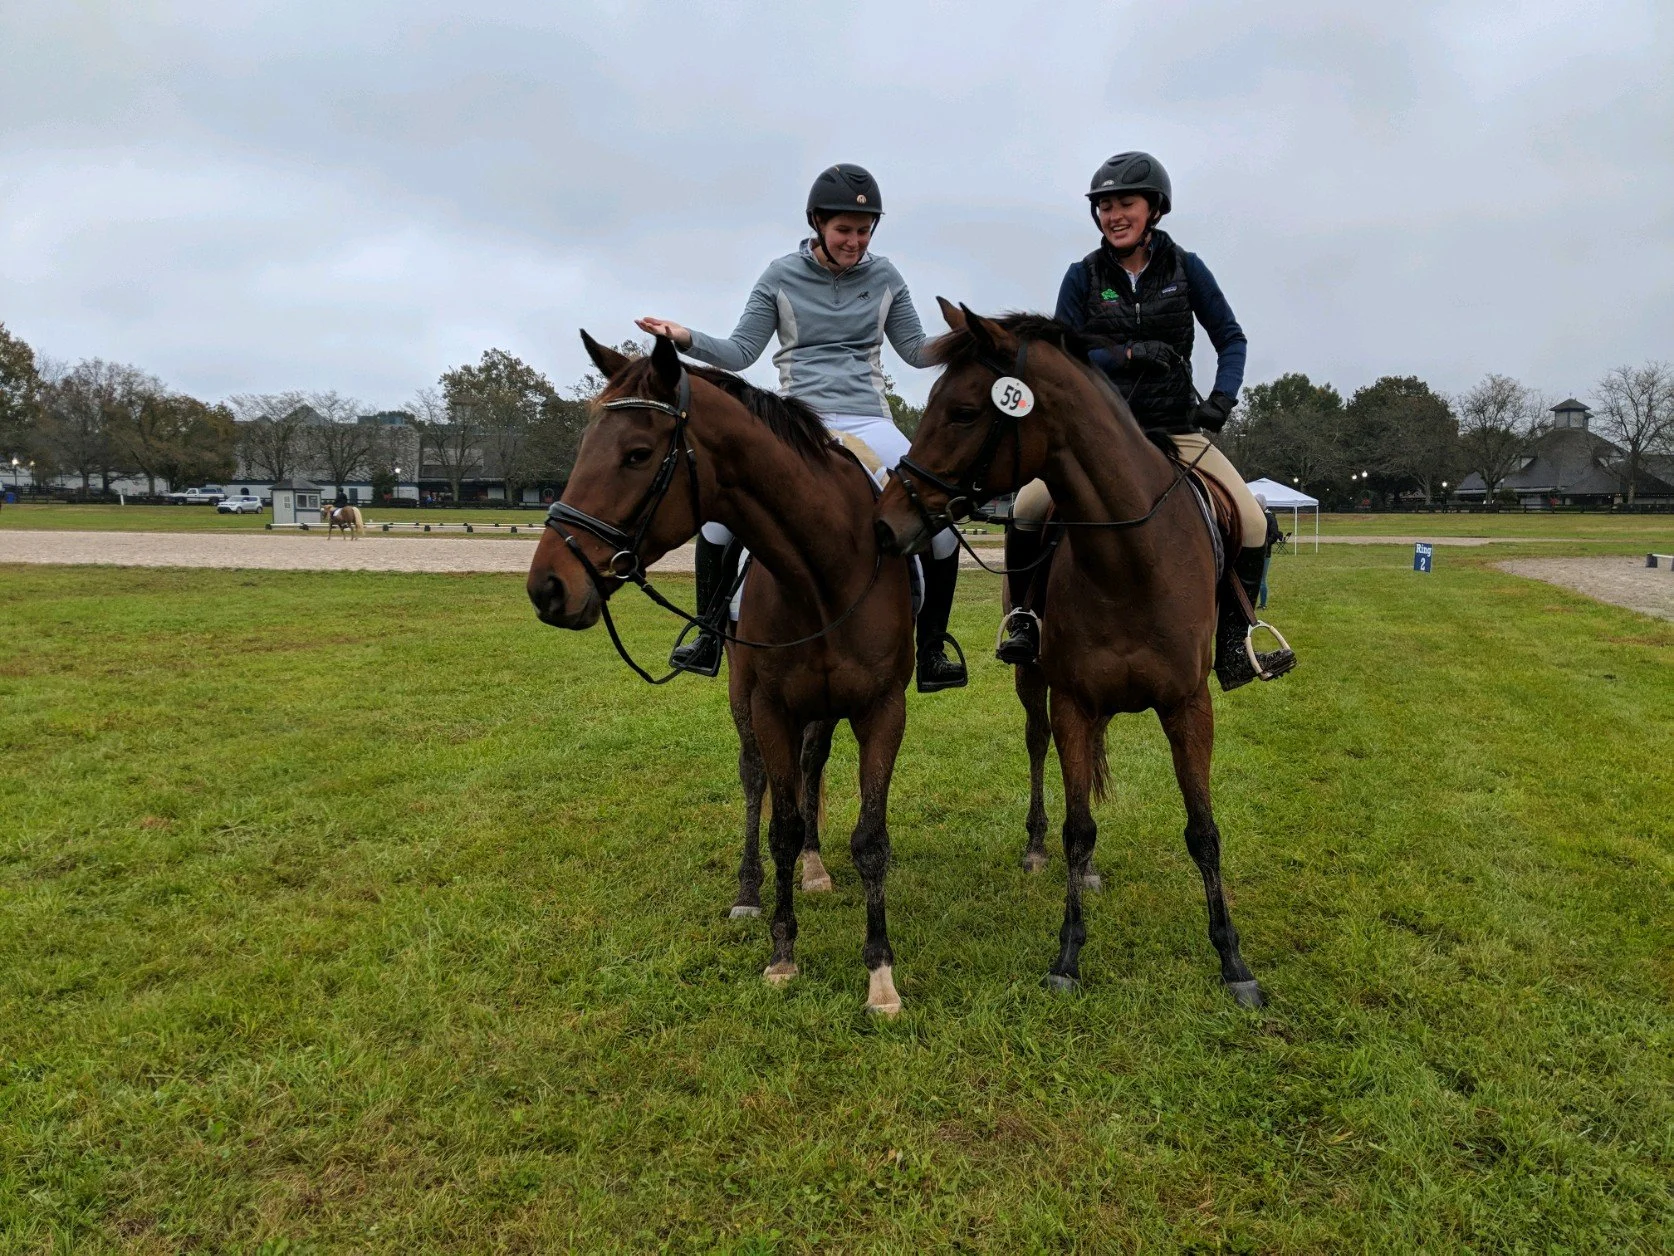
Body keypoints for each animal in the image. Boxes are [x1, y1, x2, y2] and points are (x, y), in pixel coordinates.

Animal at [527, 332, 917, 1016]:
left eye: (637, 454)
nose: (547, 586)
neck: (825, 569)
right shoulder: (769, 706)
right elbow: (781, 824)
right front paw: (783, 953)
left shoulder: (882, 709)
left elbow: (870, 840)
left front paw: (880, 975)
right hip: (747, 698)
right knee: (756, 779)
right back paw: (750, 893)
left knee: (811, 767)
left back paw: (816, 869)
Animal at [874, 301, 1265, 1008]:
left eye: (964, 411)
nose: (889, 522)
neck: (1132, 559)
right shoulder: (1075, 702)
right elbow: (1077, 826)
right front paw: (1068, 956)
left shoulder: (1188, 707)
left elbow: (1203, 831)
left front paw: (1233, 961)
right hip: (1036, 685)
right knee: (1041, 751)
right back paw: (1039, 850)